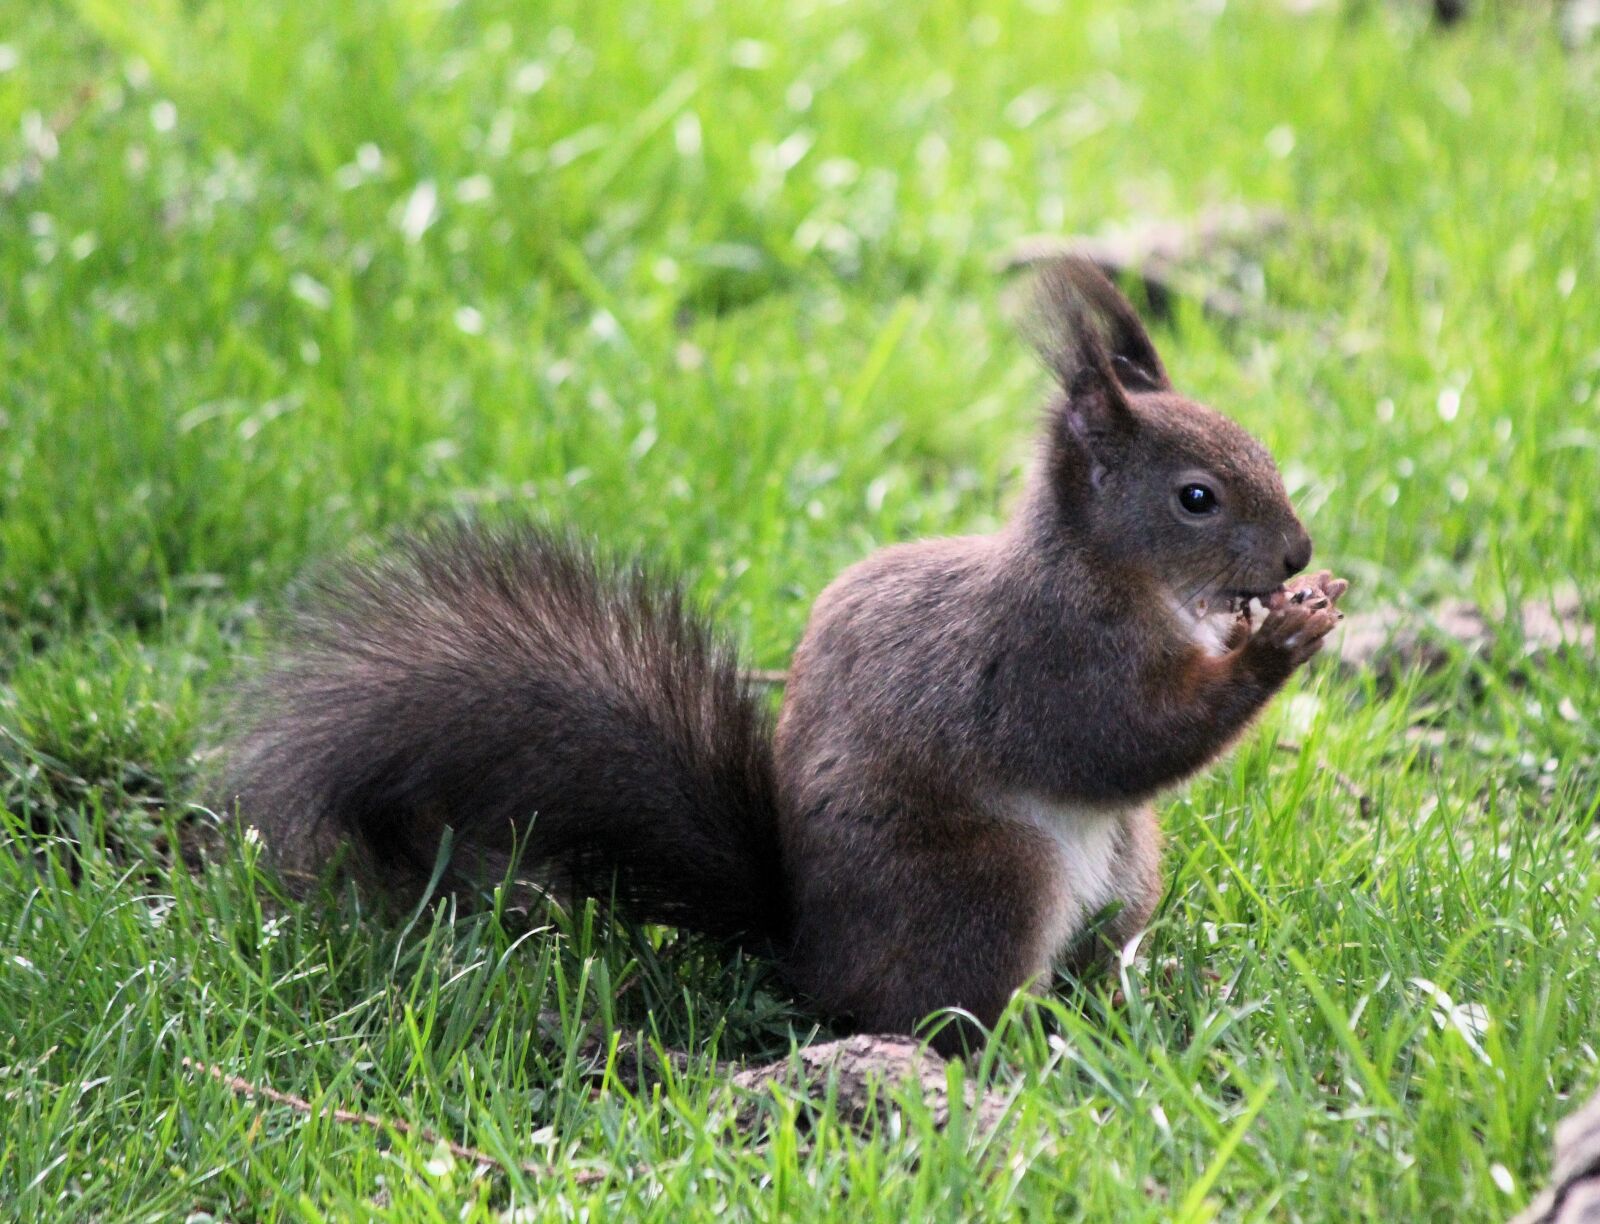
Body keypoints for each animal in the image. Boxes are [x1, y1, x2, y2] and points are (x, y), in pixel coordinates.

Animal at [222, 258, 1348, 1056]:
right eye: (1196, 497)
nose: (1298, 553)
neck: (1120, 580)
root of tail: (805, 953)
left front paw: (1282, 615)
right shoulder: (1048, 662)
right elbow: (1125, 740)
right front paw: (1276, 644)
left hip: (1128, 869)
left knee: (1092, 959)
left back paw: (1138, 1004)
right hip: (987, 883)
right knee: (947, 1016)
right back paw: (1028, 1050)